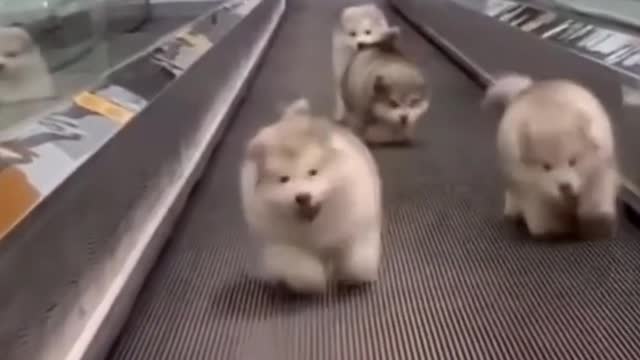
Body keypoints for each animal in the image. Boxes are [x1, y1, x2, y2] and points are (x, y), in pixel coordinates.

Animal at [239, 97, 380, 292]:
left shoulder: (357, 228)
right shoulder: (282, 245)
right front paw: (316, 281)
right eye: (284, 179)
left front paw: (351, 278)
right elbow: (302, 269)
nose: (303, 196)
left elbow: (357, 261)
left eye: (313, 172)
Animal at [484, 73, 620, 240]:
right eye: (546, 167)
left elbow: (596, 200)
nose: (565, 186)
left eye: (573, 161)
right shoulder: (532, 190)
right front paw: (555, 230)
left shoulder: (598, 173)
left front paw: (597, 225)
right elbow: (543, 213)